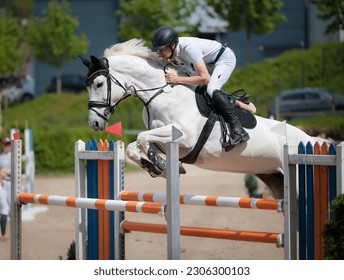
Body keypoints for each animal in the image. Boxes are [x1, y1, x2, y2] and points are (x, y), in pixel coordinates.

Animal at [80, 38, 318, 199]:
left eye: (99, 84)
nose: (94, 123)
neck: (162, 94)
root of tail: (311, 141)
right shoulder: (164, 140)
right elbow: (134, 145)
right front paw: (155, 166)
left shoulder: (185, 137)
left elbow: (141, 137)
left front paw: (159, 164)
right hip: (275, 178)